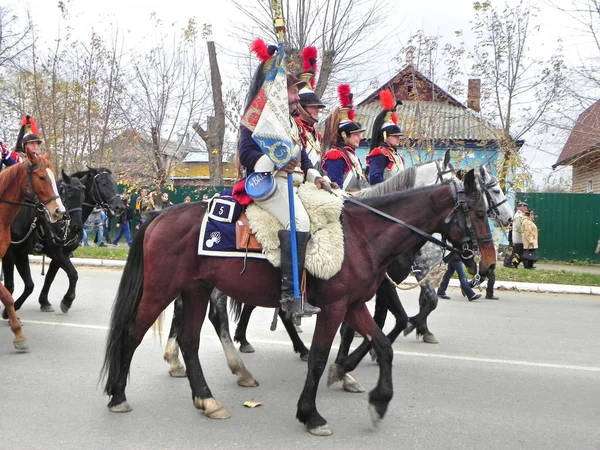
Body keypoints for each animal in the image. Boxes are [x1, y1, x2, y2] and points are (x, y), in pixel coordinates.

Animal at [0, 167, 123, 318]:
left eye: (82, 197)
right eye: (103, 183)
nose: (119, 207)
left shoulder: (61, 253)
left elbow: (51, 277)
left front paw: (45, 302)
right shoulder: (54, 252)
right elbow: (73, 273)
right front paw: (67, 301)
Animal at [103, 169, 494, 436]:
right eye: (479, 213)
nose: (487, 263)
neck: (362, 235)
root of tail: (159, 214)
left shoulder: (354, 305)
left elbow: (383, 345)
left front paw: (378, 399)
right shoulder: (334, 307)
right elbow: (320, 357)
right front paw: (312, 413)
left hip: (196, 290)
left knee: (189, 340)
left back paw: (208, 398)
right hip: (161, 290)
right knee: (133, 333)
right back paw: (118, 395)